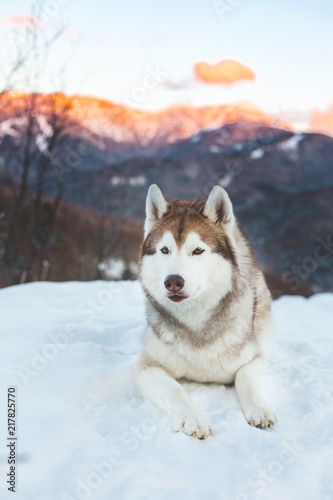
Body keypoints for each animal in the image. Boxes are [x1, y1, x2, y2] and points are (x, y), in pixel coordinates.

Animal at [134, 184, 276, 438]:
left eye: (198, 250)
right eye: (164, 250)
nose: (173, 282)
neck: (196, 324)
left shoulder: (254, 358)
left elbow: (245, 378)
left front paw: (260, 410)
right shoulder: (146, 368)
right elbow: (176, 391)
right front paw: (192, 419)